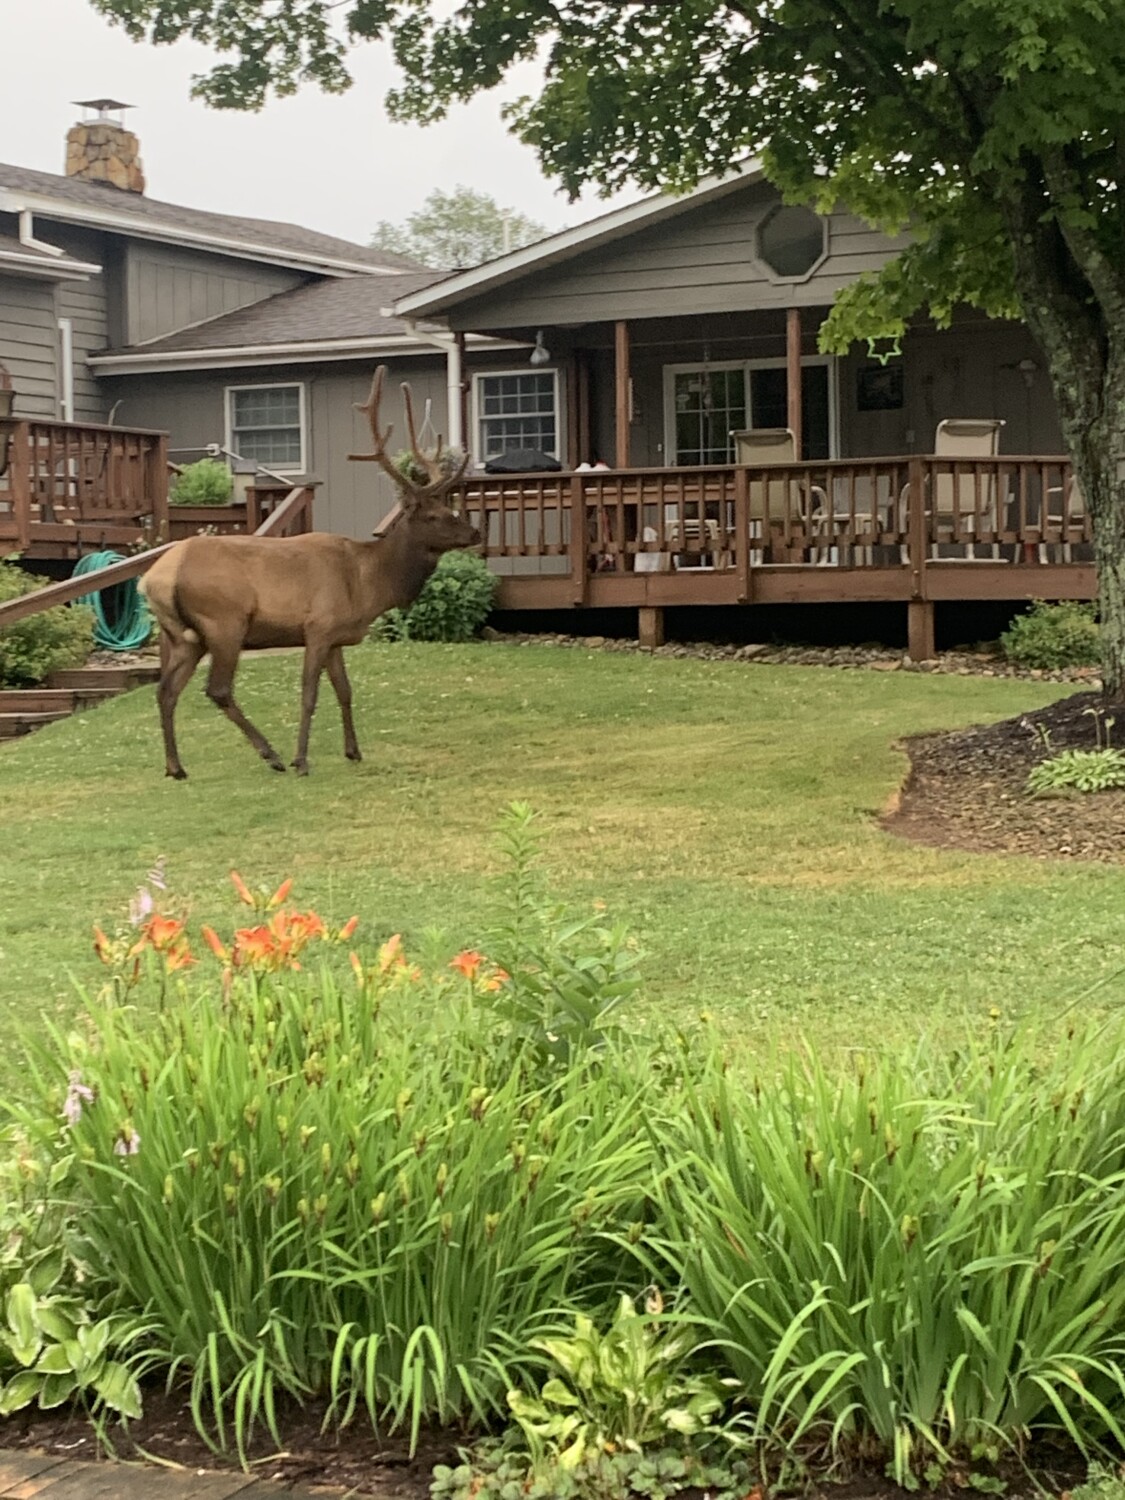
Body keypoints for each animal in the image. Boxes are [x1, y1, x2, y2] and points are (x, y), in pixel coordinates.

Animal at [140, 367, 480, 779]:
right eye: (432, 516)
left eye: (448, 508)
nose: (475, 533)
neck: (368, 584)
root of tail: (153, 578)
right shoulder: (317, 626)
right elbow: (309, 695)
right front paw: (302, 759)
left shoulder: (336, 637)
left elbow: (345, 691)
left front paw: (354, 751)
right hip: (224, 622)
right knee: (217, 689)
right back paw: (271, 755)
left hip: (182, 637)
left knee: (166, 691)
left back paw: (176, 767)